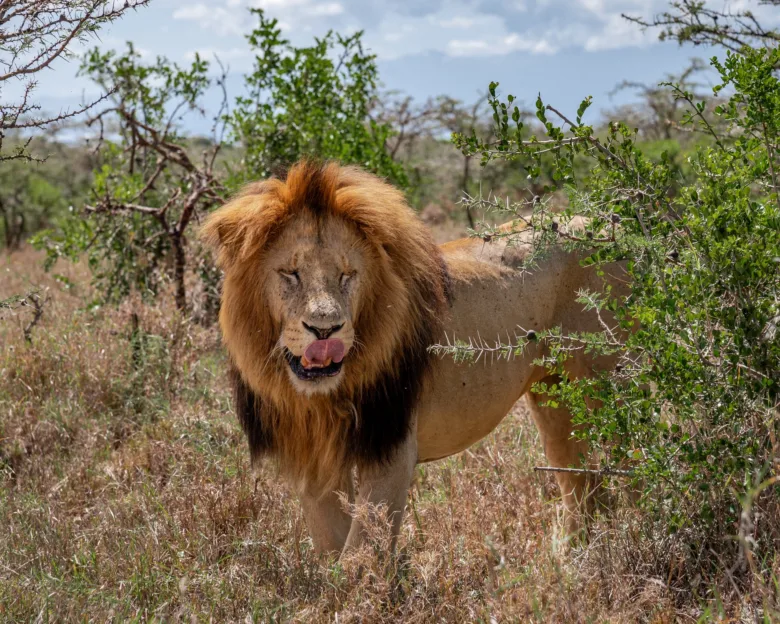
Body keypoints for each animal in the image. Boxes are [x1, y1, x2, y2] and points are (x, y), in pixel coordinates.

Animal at [201, 161, 623, 555]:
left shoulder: (391, 446)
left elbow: (361, 554)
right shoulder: (313, 458)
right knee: (581, 481)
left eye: (347, 275)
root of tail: (608, 226)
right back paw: (573, 559)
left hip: (606, 390)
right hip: (555, 397)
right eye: (290, 273)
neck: (321, 400)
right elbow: (331, 547)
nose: (325, 330)